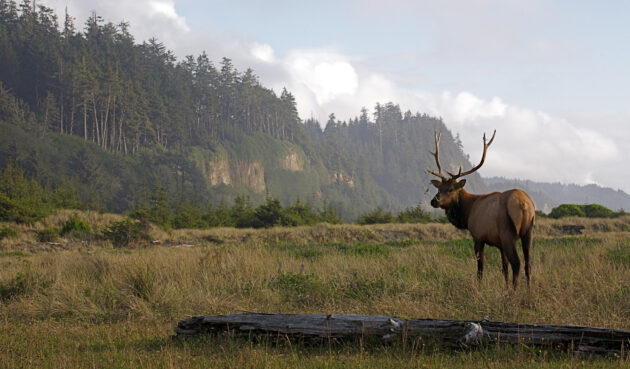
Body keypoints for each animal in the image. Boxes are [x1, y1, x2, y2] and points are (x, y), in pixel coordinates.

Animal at [428, 130, 536, 288]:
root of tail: (524, 204)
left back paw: (515, 291)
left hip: (508, 233)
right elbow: (504, 268)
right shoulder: (500, 244)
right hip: (528, 232)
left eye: (451, 189)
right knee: (528, 263)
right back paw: (528, 290)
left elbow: (480, 267)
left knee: (517, 263)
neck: (467, 213)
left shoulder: (478, 236)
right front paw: (506, 288)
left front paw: (480, 287)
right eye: (439, 188)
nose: (433, 201)